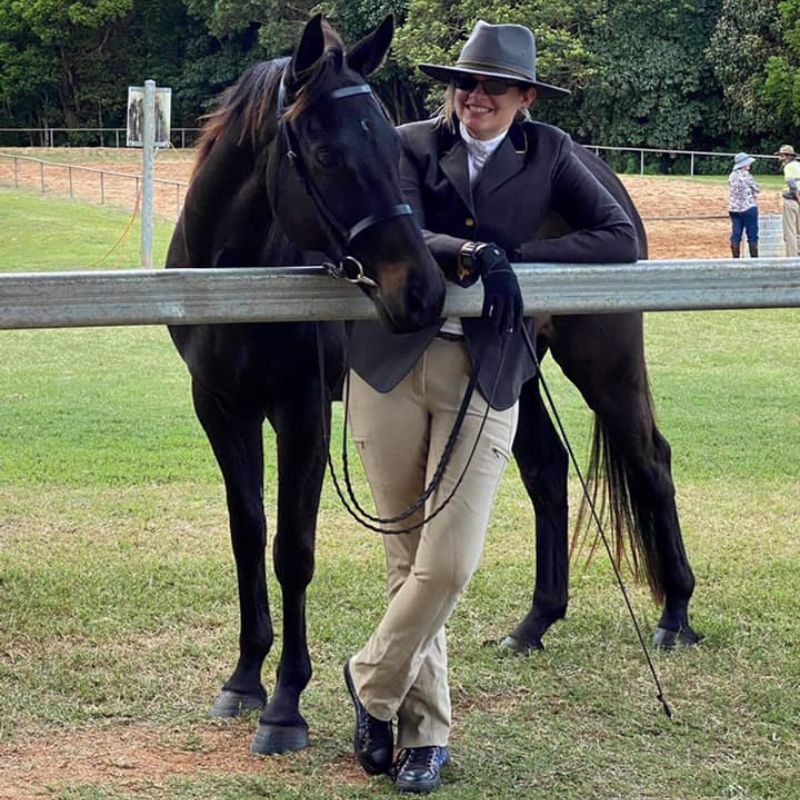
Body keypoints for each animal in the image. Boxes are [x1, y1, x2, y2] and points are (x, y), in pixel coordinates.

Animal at [166, 14, 446, 754]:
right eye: (325, 155)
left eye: (391, 145)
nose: (424, 291)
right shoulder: (221, 408)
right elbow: (248, 532)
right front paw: (244, 677)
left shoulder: (303, 414)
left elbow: (292, 550)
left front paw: (286, 703)